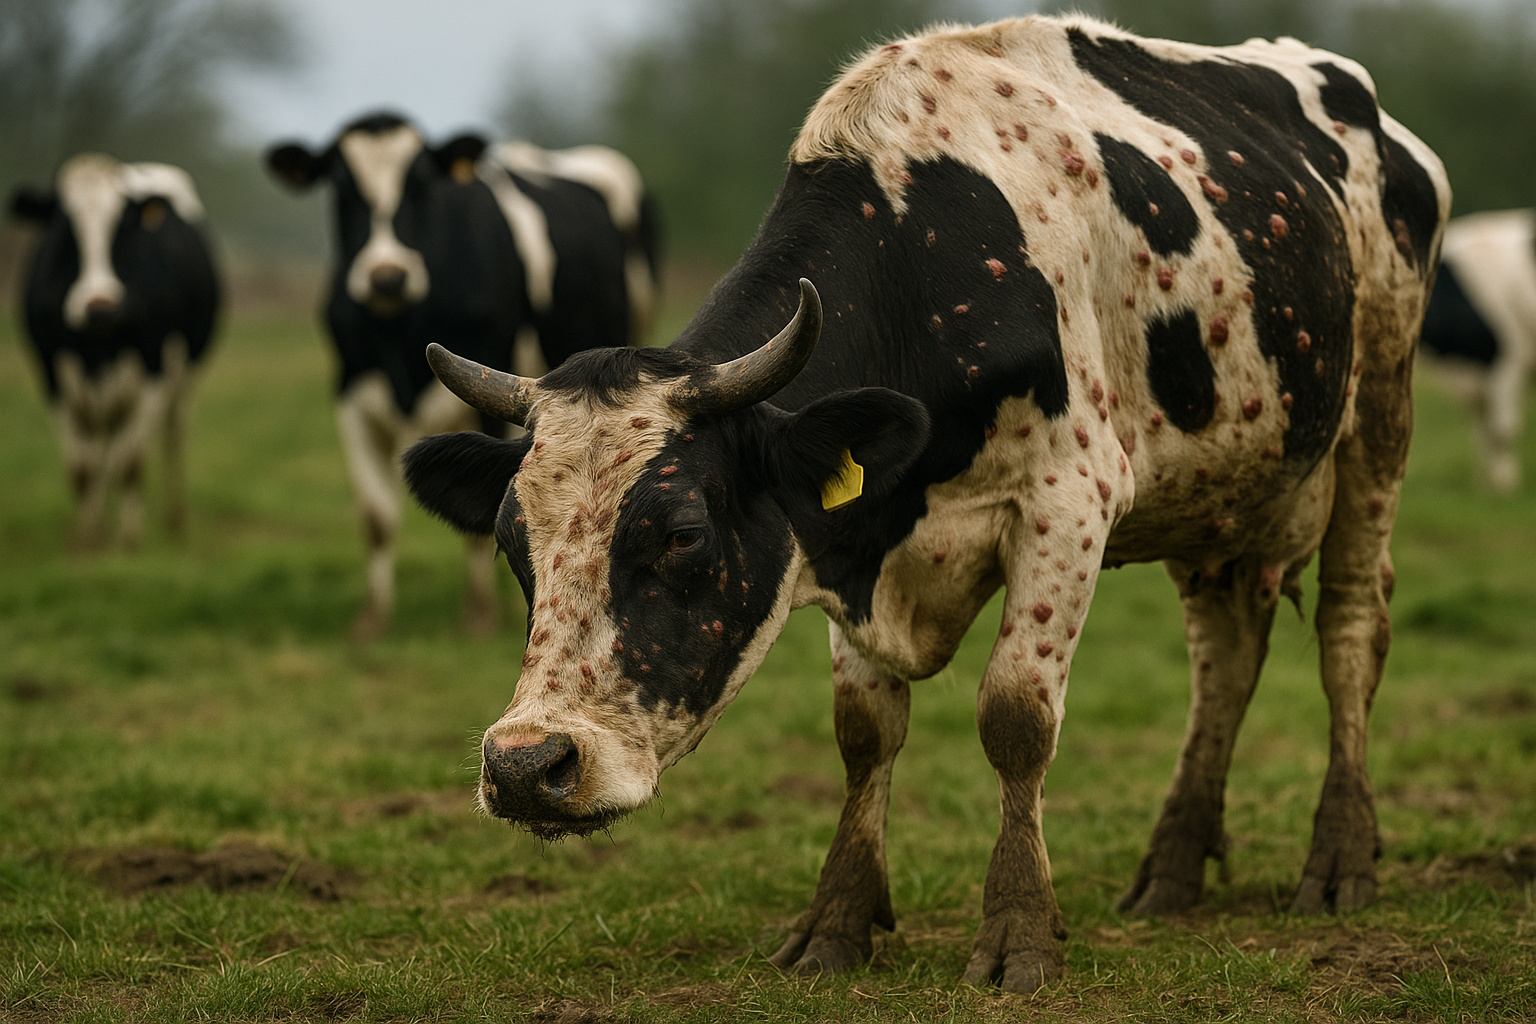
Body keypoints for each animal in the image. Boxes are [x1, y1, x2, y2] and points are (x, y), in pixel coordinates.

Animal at [10, 153, 219, 549]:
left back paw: (175, 520)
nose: (100, 307)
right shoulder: (51, 374)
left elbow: (130, 464)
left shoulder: (154, 368)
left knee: (172, 439)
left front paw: (129, 541)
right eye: (63, 229)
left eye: (123, 229)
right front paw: (87, 540)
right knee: (103, 453)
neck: (99, 345)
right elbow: (82, 469)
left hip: (185, 377)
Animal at [264, 112, 659, 640]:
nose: (387, 276)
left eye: (421, 185)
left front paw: (479, 617)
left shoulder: (489, 393)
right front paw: (371, 620)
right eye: (342, 188)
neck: (401, 339)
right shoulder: (350, 394)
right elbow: (375, 516)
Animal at [402, 17, 1449, 990]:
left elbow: (1015, 717)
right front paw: (837, 922)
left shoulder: (1070, 501)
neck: (937, 254)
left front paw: (1020, 934)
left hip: (1379, 425)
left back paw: (1339, 857)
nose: (527, 766)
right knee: (1223, 658)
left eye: (684, 533)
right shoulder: (849, 533)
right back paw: (1173, 866)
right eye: (512, 545)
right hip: (1218, 488)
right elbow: (864, 734)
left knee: (1351, 628)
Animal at [1418, 209, 1536, 493]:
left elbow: (1502, 431)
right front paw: (1484, 485)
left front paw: (1505, 485)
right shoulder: (1475, 382)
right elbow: (1482, 431)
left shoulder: (1507, 363)